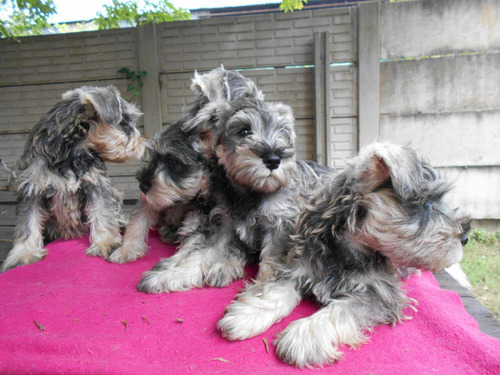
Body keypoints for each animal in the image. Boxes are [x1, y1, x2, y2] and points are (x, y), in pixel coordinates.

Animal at [0, 85, 145, 274]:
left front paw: (106, 242)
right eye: (125, 123)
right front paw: (23, 254)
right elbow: (28, 224)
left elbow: (103, 214)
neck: (70, 153)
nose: (143, 144)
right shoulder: (32, 189)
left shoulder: (97, 185)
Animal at [217, 144, 470, 370]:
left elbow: (341, 310)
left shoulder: (378, 294)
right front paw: (247, 315)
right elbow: (275, 292)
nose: (465, 237)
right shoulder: (295, 270)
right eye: (426, 203)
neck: (349, 245)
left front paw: (303, 336)